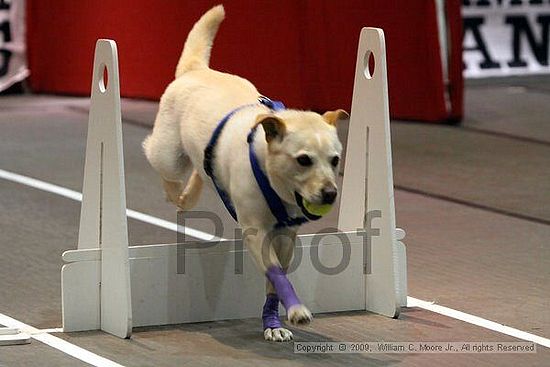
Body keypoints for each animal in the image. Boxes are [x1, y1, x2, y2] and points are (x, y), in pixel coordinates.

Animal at [142, 4, 350, 342]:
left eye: (334, 160)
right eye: (303, 160)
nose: (330, 193)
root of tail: (196, 70)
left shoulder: (285, 235)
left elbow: (275, 281)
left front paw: (273, 323)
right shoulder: (256, 232)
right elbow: (277, 273)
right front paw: (296, 310)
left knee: (199, 169)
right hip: (168, 154)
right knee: (163, 169)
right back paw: (182, 194)